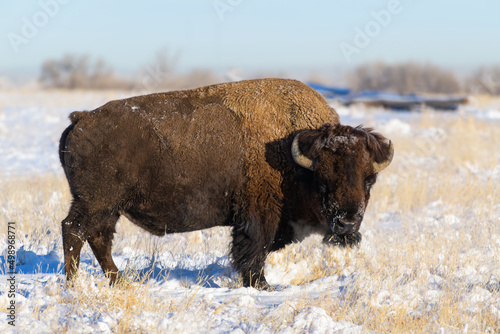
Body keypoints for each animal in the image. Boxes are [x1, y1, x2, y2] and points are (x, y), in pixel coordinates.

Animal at [58, 79, 392, 290]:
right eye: (322, 179)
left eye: (369, 178)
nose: (347, 224)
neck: (293, 155)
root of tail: (81, 119)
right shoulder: (258, 215)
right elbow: (254, 251)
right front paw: (262, 287)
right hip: (96, 202)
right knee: (74, 230)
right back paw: (74, 284)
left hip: (108, 207)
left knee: (98, 237)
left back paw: (118, 281)